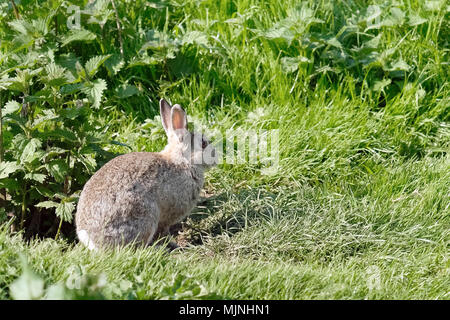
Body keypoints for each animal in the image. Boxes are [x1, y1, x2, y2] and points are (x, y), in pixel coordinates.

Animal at [75, 98, 216, 250]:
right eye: (203, 144)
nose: (216, 157)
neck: (182, 161)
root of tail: (91, 239)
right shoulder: (166, 218)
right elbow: (164, 232)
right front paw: (175, 245)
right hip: (143, 215)